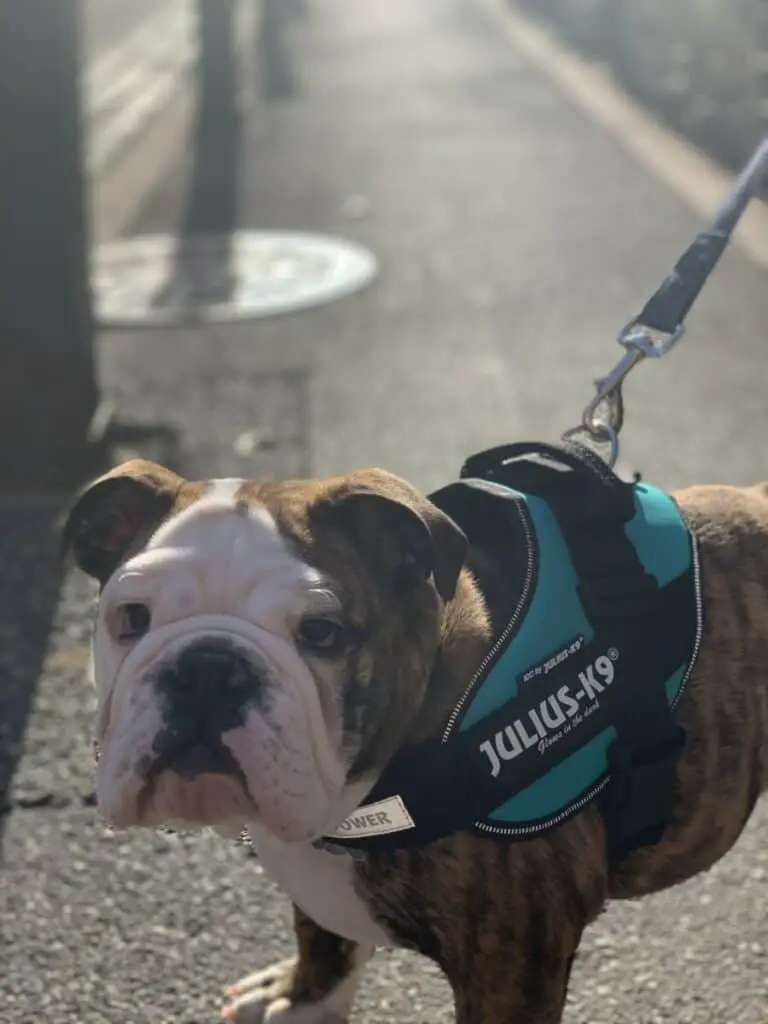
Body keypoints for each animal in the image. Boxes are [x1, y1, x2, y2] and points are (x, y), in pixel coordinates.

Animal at [63, 460, 768, 1019]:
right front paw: (301, 998)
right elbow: (321, 937)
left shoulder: (512, 967)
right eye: (131, 618)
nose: (209, 669)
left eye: (322, 633)